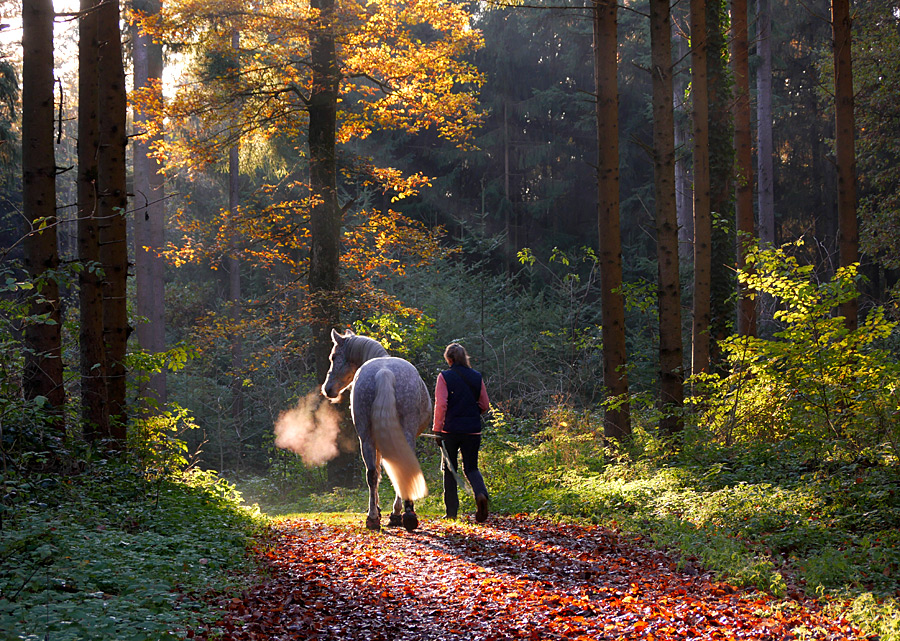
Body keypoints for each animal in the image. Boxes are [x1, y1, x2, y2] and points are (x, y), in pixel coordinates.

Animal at [320, 328, 432, 532]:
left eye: (333, 357)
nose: (328, 389)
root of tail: (385, 372)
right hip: (397, 436)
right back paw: (401, 515)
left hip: (367, 438)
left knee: (374, 473)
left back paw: (377, 517)